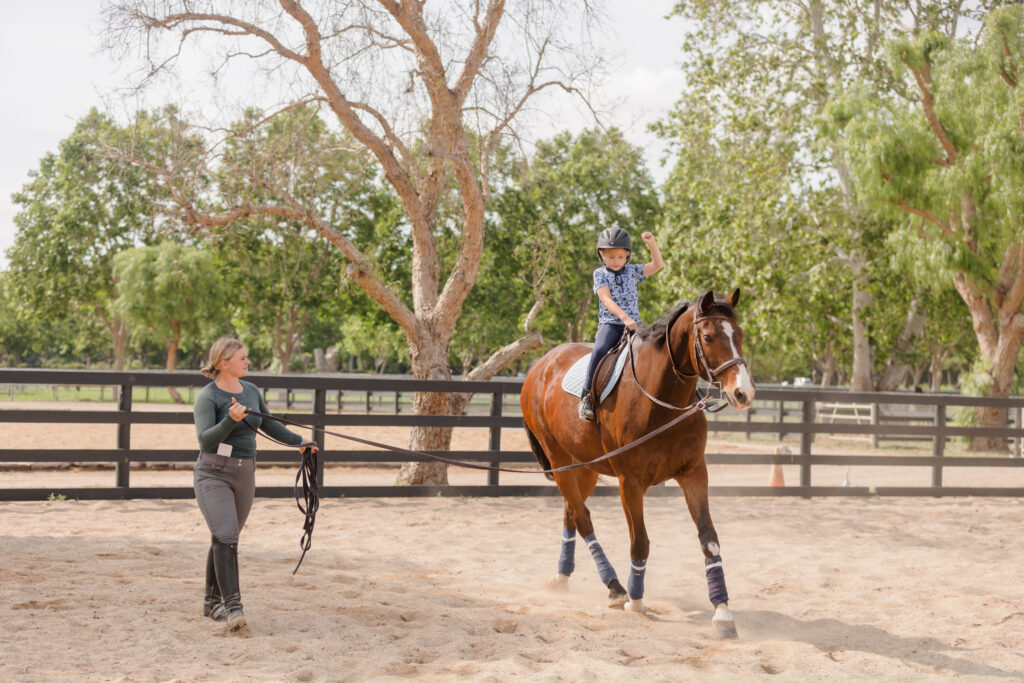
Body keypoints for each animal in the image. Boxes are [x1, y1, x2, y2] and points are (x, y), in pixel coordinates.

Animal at [520, 289, 754, 638]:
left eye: (739, 335)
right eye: (709, 337)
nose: (743, 393)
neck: (661, 401)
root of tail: (541, 365)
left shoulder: (694, 474)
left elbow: (709, 539)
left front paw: (723, 612)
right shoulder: (630, 483)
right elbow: (640, 543)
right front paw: (637, 601)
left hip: (583, 466)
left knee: (571, 513)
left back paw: (563, 577)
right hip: (560, 459)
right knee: (583, 518)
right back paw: (615, 587)